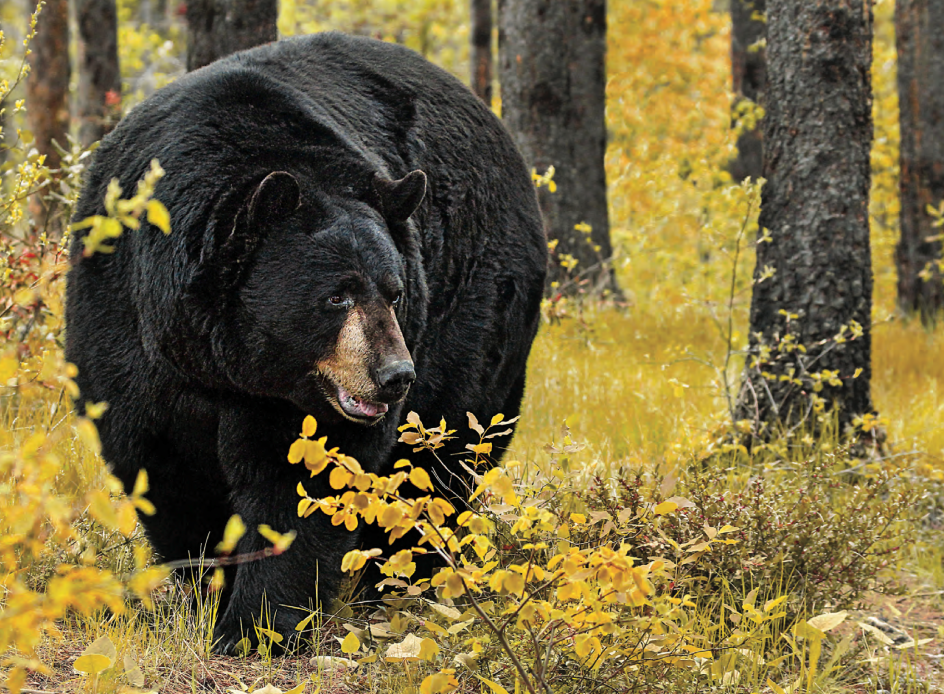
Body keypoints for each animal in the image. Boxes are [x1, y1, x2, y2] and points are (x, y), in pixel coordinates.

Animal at [66, 32, 544, 652]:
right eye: (337, 296)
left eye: (394, 292)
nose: (395, 376)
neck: (219, 360)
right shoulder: (122, 318)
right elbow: (159, 465)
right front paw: (205, 594)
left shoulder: (295, 401)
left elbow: (302, 479)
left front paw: (255, 625)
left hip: (475, 305)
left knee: (445, 453)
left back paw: (404, 583)